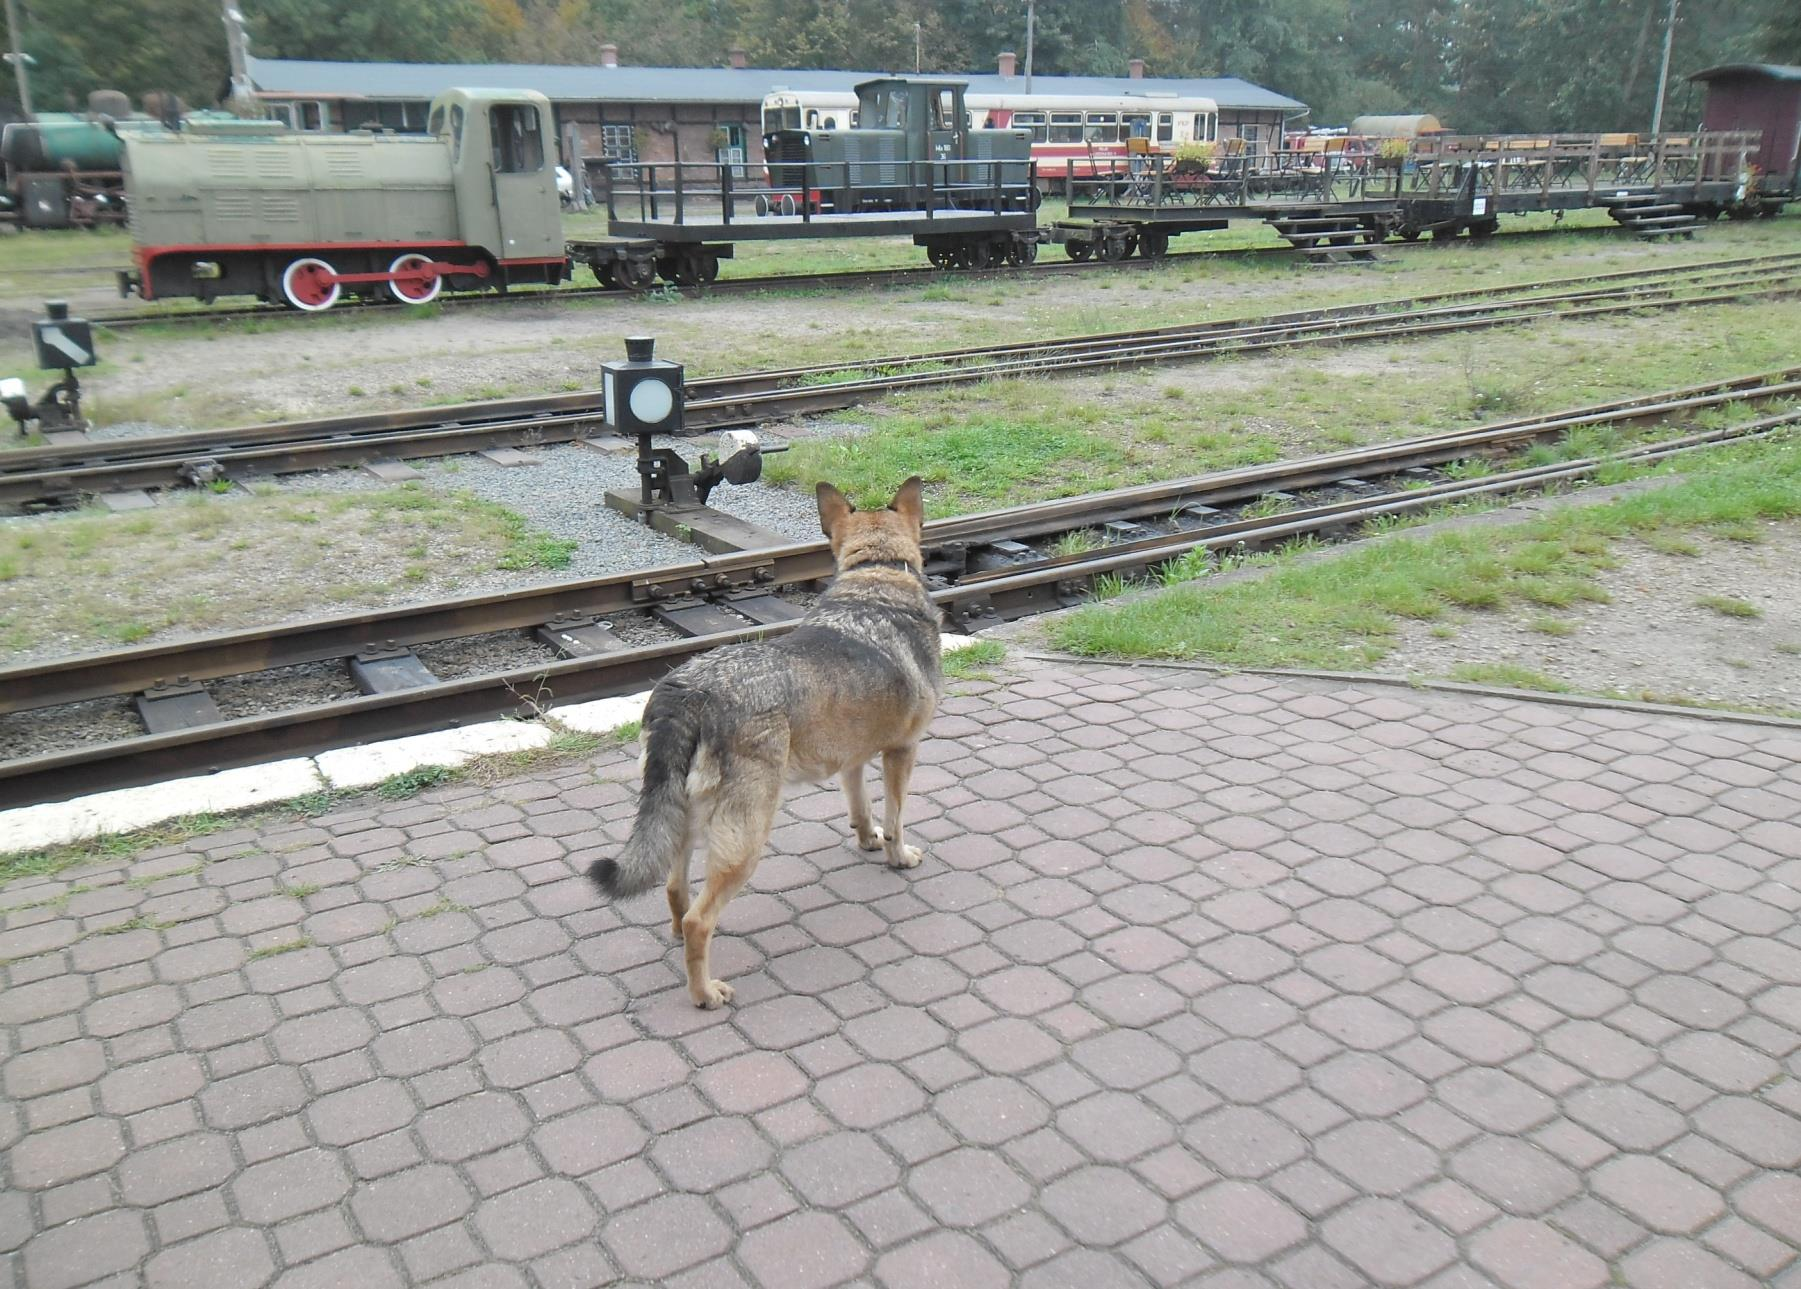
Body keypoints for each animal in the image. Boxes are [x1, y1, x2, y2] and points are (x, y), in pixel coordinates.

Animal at [587, 471, 943, 1008]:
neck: (876, 581)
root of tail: (690, 690)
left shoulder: (853, 759)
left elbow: (862, 812)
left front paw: (867, 841)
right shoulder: (902, 752)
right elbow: (896, 821)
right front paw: (898, 858)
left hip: (683, 824)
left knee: (675, 895)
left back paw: (678, 941)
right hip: (746, 841)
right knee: (699, 920)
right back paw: (704, 993)